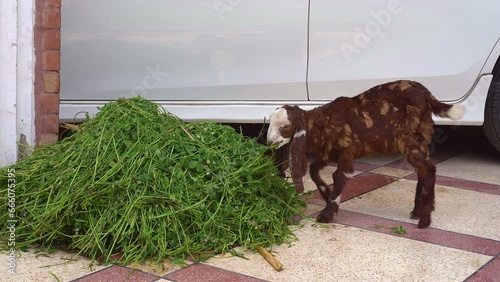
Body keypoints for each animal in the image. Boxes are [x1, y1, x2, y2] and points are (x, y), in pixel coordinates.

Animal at [268, 79, 466, 227]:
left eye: (285, 127)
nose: (269, 143)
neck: (323, 123)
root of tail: (428, 96)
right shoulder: (328, 152)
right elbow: (313, 170)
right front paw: (326, 193)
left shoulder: (347, 150)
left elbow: (339, 176)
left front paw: (327, 213)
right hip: (421, 137)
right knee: (423, 171)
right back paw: (417, 212)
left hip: (408, 139)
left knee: (428, 169)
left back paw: (424, 220)